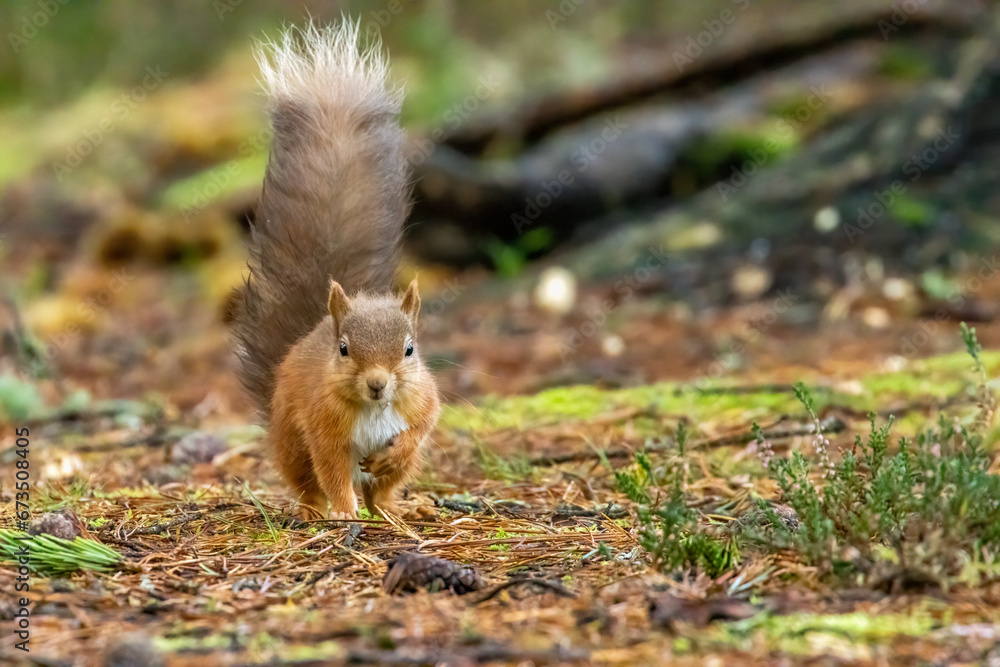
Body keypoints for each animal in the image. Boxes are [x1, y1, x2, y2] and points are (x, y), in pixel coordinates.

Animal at [228, 22, 441, 520]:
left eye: (409, 350)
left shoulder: (423, 401)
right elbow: (332, 470)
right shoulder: (323, 427)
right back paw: (316, 511)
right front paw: (343, 512)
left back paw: (397, 507)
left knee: (383, 490)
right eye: (344, 349)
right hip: (291, 442)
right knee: (309, 482)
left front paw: (391, 457)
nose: (379, 384)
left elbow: (420, 428)